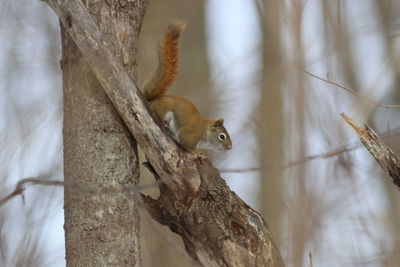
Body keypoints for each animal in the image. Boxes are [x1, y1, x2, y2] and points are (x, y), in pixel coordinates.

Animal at [143, 22, 231, 155]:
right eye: (222, 136)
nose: (230, 147)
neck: (204, 132)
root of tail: (150, 99)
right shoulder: (190, 135)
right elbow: (187, 144)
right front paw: (199, 153)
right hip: (165, 108)